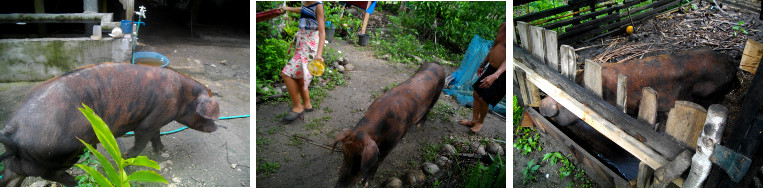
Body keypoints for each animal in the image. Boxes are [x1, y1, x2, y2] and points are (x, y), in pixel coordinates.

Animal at [0, 62, 221, 186]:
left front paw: (162, 151)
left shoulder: (157, 119)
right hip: (60, 151)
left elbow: (157, 135)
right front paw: (125, 159)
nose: (217, 128)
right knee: (56, 174)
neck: (183, 97)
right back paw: (78, 182)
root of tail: (11, 130)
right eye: (209, 116)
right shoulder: (147, 123)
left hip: (21, 164)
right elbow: (142, 141)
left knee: (10, 178)